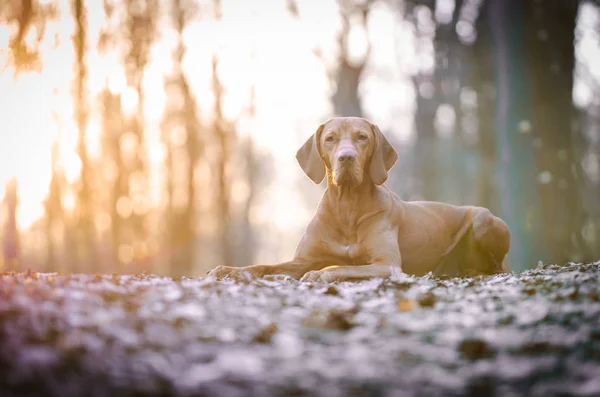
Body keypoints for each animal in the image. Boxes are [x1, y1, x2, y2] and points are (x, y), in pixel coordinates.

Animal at [209, 117, 508, 282]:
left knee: (499, 268)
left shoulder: (387, 265)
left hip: (484, 219)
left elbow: (344, 266)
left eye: (362, 137)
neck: (347, 206)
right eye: (330, 139)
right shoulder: (303, 259)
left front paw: (321, 274)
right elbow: (264, 266)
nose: (346, 157)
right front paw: (229, 270)